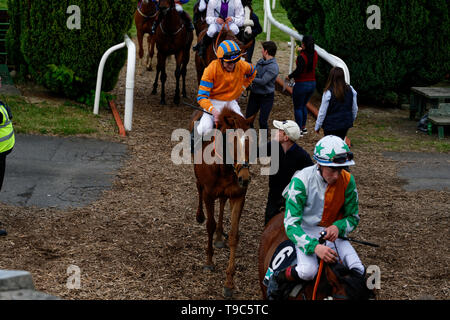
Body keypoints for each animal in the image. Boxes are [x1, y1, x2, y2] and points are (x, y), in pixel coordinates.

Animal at [193, 107, 256, 298]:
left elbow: (235, 235)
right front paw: (208, 261)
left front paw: (229, 282)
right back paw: (200, 216)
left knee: (222, 202)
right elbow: (210, 225)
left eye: (252, 142)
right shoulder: (208, 194)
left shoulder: (238, 196)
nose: (245, 178)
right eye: (231, 142)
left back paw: (220, 236)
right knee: (198, 189)